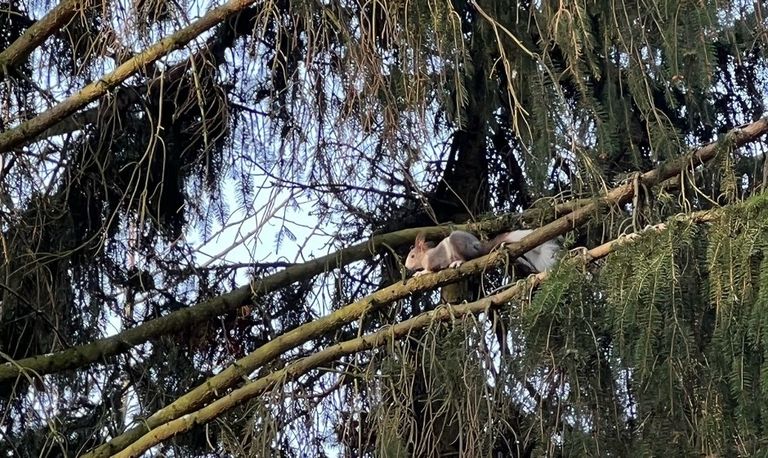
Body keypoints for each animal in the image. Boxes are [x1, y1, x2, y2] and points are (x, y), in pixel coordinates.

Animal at [404, 229, 560, 276]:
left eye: (412, 256)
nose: (406, 266)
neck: (425, 255)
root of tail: (479, 246)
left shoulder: (433, 262)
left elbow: (430, 270)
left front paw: (420, 273)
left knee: (466, 258)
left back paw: (457, 262)